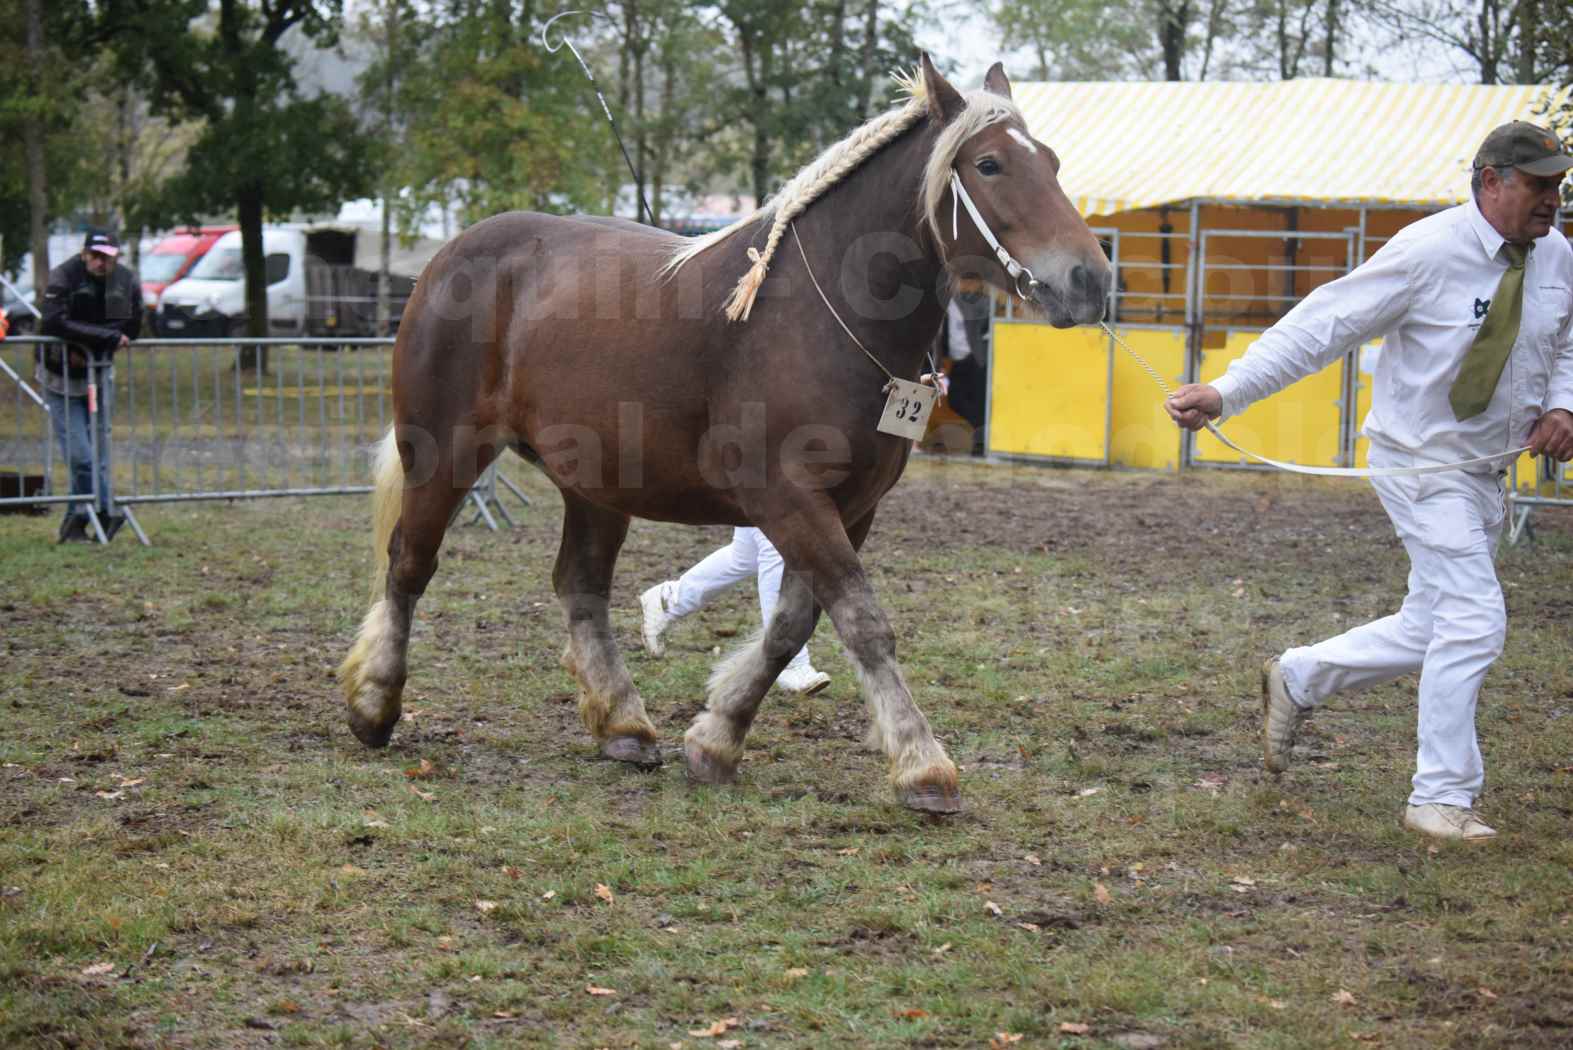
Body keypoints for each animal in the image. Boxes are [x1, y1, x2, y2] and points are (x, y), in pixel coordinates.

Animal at [339, 55, 1113, 811]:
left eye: (1051, 161)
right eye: (988, 164)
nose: (1091, 280)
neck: (817, 315)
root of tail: (450, 254)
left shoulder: (851, 508)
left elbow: (793, 626)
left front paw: (716, 738)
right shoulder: (788, 498)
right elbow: (862, 621)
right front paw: (922, 764)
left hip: (594, 482)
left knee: (579, 586)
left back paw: (623, 725)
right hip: (443, 450)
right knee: (409, 564)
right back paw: (375, 705)